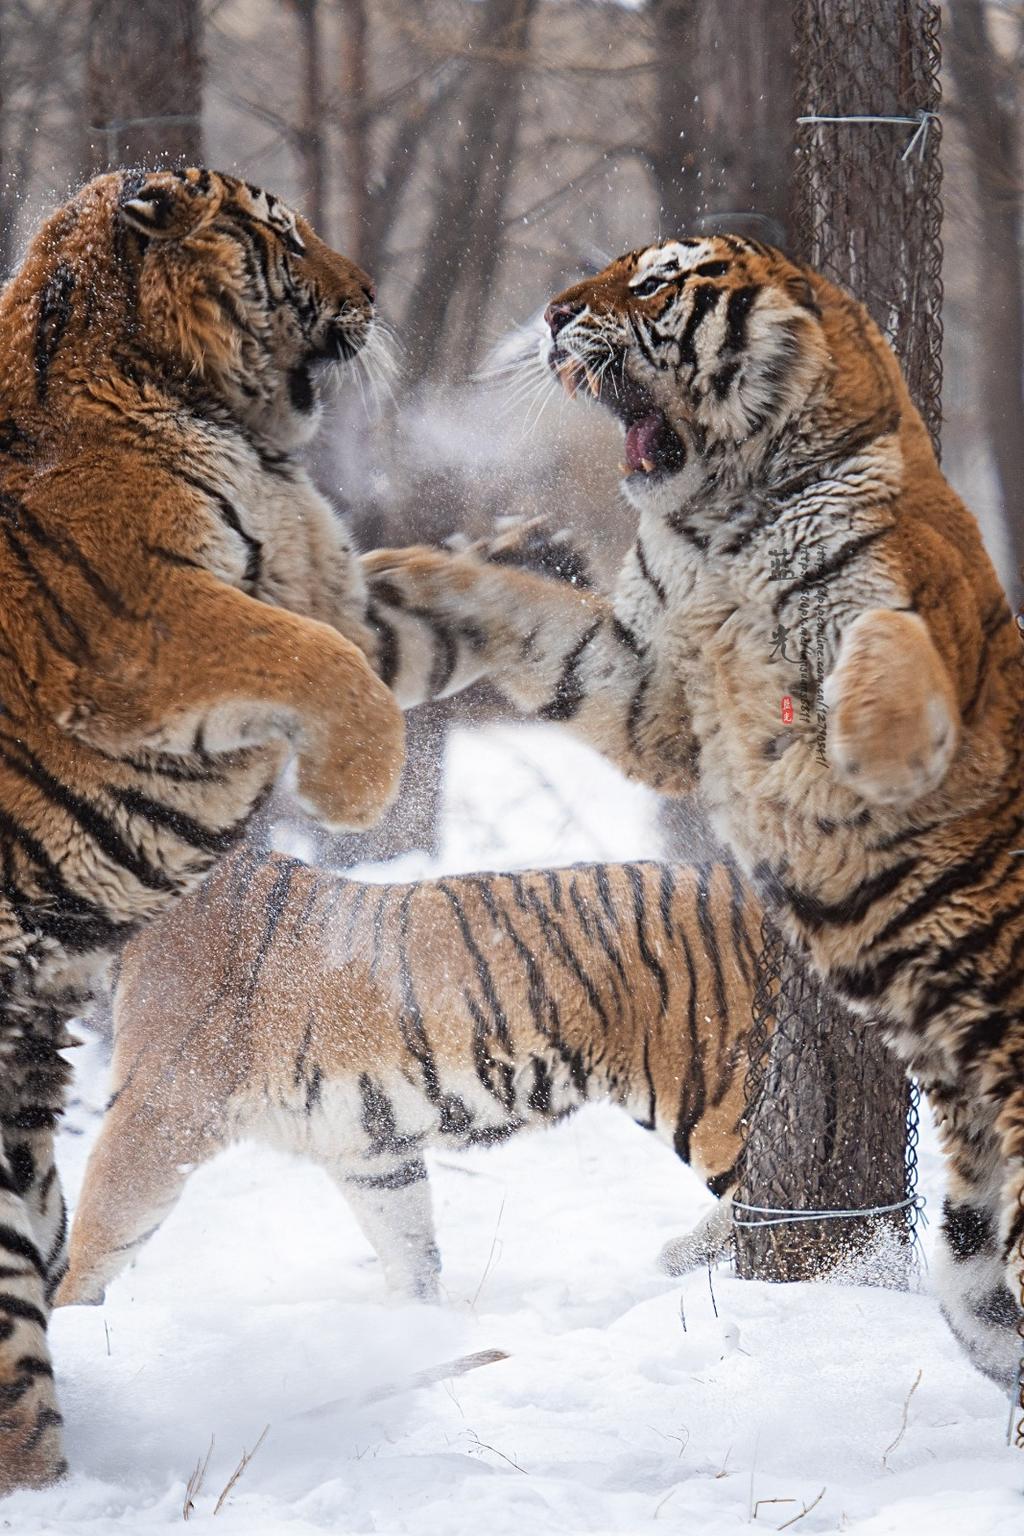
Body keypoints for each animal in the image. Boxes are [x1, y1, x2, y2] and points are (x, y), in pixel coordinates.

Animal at [0, 168, 405, 1486]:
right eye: (283, 232)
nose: (371, 292)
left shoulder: (315, 565)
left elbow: (419, 606)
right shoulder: (155, 623)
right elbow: (324, 663)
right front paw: (360, 791)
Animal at [56, 854, 761, 1308]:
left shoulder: (157, 1111)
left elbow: (98, 1232)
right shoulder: (369, 1151)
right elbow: (409, 1243)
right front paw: (415, 1327)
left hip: (712, 1088)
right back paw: (680, 1255)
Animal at [356, 233, 1024, 1400]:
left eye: (657, 279)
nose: (549, 313)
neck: (724, 520)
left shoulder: (900, 616)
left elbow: (880, 637)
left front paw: (858, 732)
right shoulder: (653, 695)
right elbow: (538, 621)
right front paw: (428, 576)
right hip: (967, 1253)